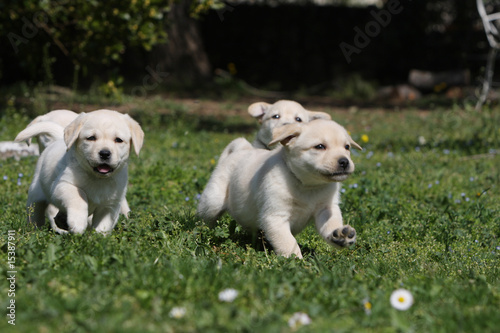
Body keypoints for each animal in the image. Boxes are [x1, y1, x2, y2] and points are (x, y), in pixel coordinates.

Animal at [14, 109, 144, 233]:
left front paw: (98, 237)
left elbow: (103, 225)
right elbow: (79, 196)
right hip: (36, 195)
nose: (105, 153)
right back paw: (35, 231)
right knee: (36, 214)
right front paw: (78, 223)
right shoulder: (62, 185)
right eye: (91, 138)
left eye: (118, 140)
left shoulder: (111, 204)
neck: (98, 178)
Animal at [196, 118, 364, 258]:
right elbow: (288, 243)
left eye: (347, 147)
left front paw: (340, 236)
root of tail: (242, 149)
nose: (344, 161)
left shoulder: (327, 208)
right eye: (320, 146)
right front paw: (296, 262)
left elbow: (330, 224)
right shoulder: (275, 217)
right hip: (213, 201)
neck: (307, 185)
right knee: (205, 218)